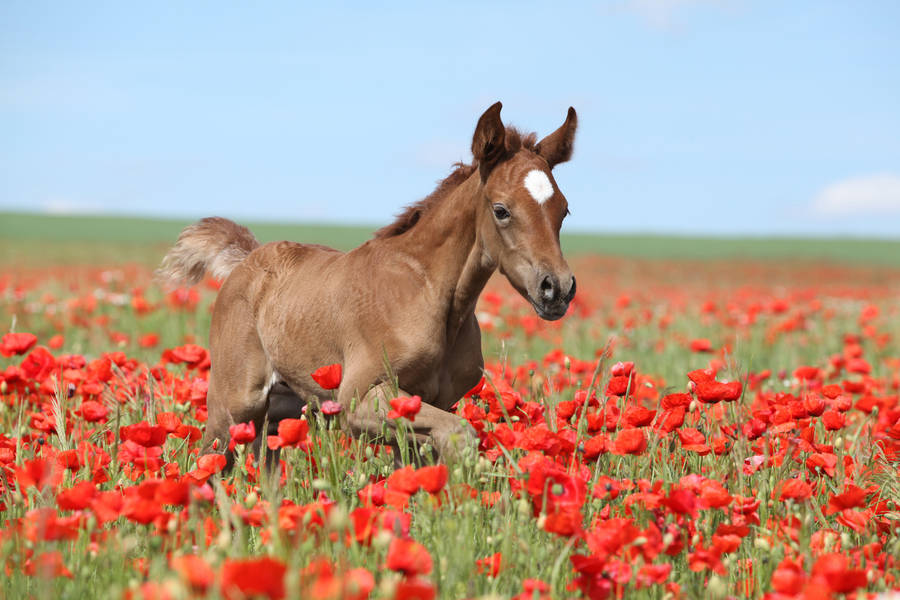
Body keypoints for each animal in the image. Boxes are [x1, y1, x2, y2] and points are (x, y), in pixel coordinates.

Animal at [157, 102, 578, 465]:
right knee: (209, 462)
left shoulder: (428, 403)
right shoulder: (359, 399)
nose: (556, 288)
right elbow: (460, 434)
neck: (428, 294)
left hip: (282, 409)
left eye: (564, 209)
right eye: (501, 210)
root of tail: (245, 261)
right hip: (234, 407)